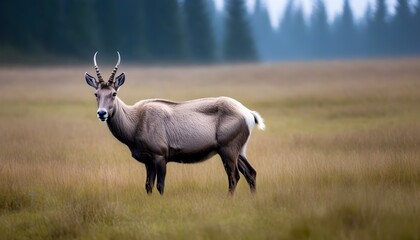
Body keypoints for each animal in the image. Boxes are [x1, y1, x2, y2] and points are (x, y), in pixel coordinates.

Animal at [83, 52, 264, 195]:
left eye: (113, 93)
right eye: (96, 93)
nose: (102, 113)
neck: (136, 120)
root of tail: (248, 113)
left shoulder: (160, 157)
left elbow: (160, 186)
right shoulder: (148, 161)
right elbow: (148, 186)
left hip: (228, 150)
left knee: (234, 176)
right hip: (239, 151)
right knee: (251, 173)